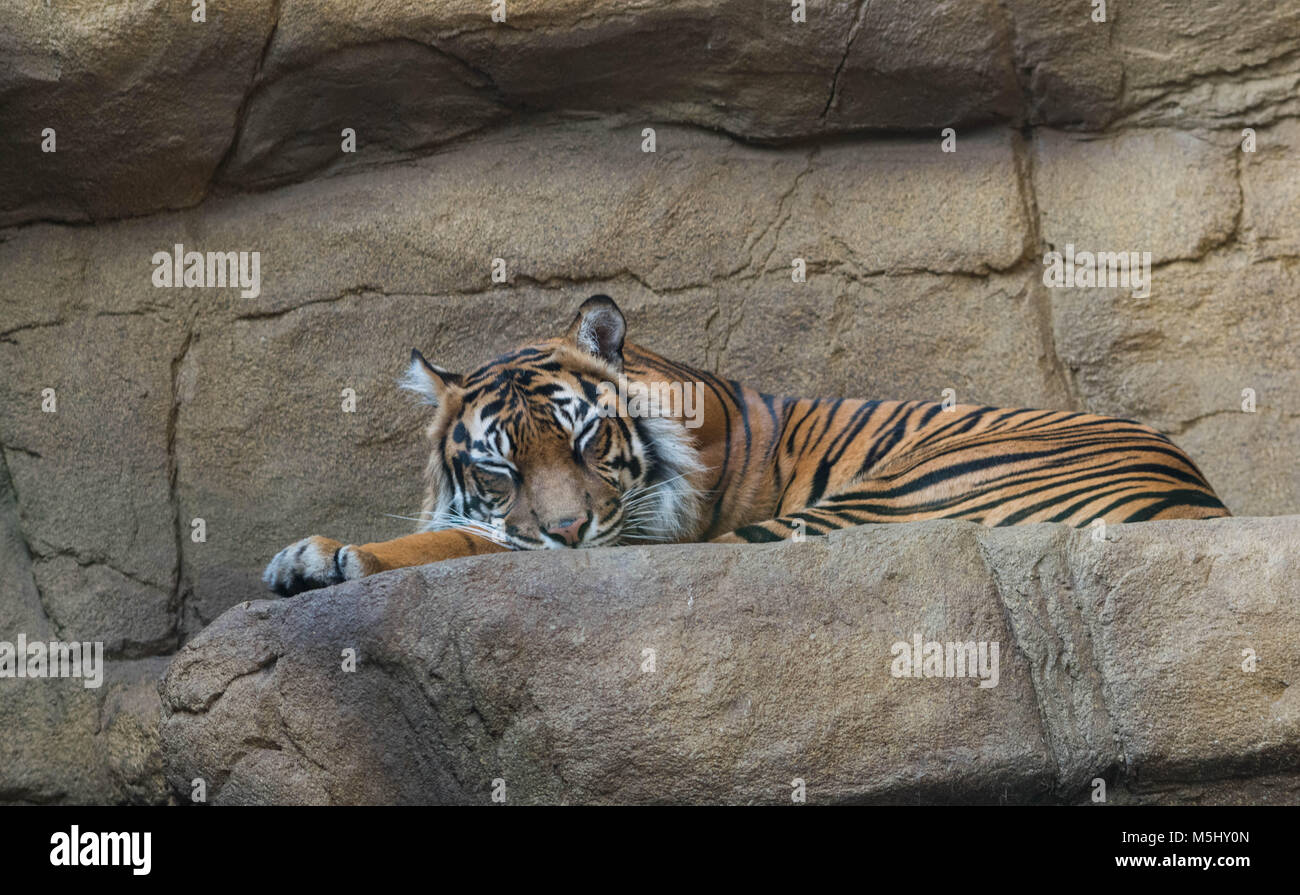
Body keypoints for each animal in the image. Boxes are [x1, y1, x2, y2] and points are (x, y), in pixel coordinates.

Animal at [263, 294, 1230, 596]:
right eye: (500, 468)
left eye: (586, 443)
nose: (570, 532)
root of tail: (1202, 495)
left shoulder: (635, 537)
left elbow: (465, 543)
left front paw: (327, 555)